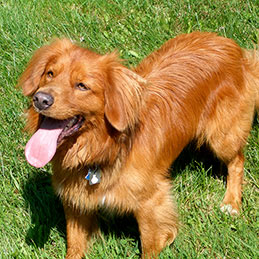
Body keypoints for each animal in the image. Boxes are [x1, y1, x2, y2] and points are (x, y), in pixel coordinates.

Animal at [18, 31, 259, 258]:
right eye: (50, 73)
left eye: (82, 86)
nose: (41, 99)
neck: (105, 150)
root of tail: (236, 50)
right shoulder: (75, 201)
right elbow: (75, 244)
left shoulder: (152, 202)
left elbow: (149, 244)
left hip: (223, 136)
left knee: (237, 160)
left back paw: (231, 202)